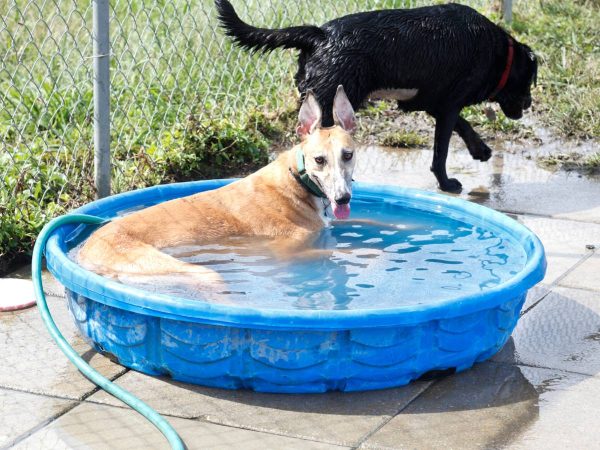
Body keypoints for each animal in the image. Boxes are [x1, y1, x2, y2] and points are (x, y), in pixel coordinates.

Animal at [76, 85, 356, 288]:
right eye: (319, 160)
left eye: (348, 155)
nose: (342, 198)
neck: (297, 181)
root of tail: (87, 251)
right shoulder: (284, 251)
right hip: (196, 273)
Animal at [214, 0, 536, 192]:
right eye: (531, 80)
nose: (530, 103)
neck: (499, 52)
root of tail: (319, 34)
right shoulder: (448, 106)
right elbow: (441, 151)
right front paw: (446, 183)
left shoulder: (435, 102)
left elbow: (464, 126)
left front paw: (480, 150)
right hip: (330, 104)